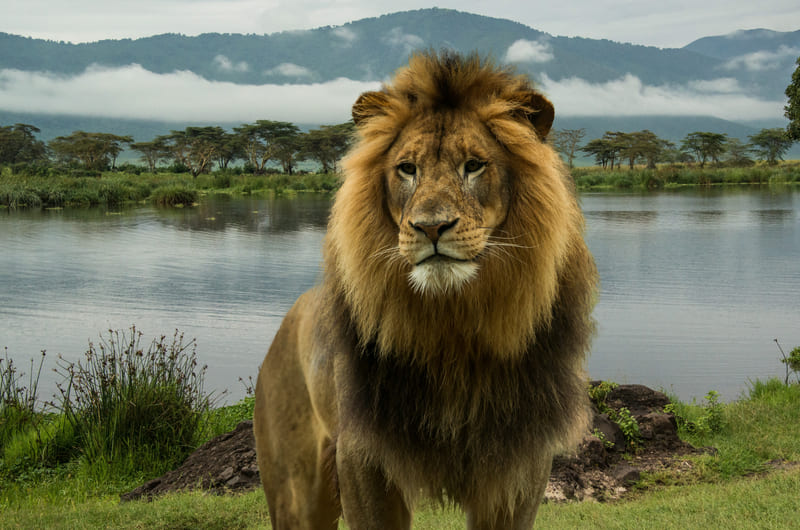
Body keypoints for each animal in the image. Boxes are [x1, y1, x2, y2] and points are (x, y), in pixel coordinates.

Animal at [253, 51, 598, 529]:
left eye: (473, 165)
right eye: (407, 169)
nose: (431, 227)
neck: (451, 325)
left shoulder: (521, 463)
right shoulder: (363, 456)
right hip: (295, 490)